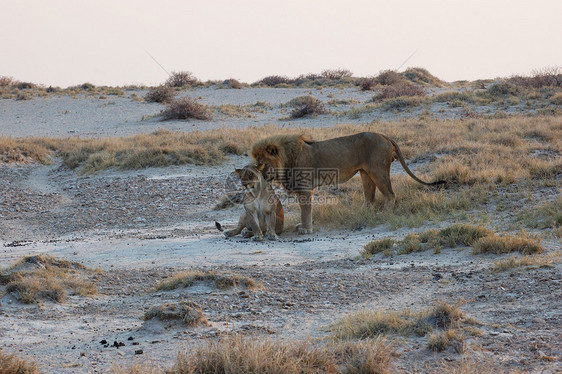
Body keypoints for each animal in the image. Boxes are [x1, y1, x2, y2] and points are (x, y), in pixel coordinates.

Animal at [252, 131, 444, 234]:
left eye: (262, 163)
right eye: (256, 162)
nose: (258, 175)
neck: (285, 160)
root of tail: (385, 136)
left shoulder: (305, 188)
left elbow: (305, 210)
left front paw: (306, 229)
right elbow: (304, 210)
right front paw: (302, 226)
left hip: (378, 170)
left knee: (390, 194)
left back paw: (384, 215)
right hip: (365, 173)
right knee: (370, 198)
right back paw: (364, 214)